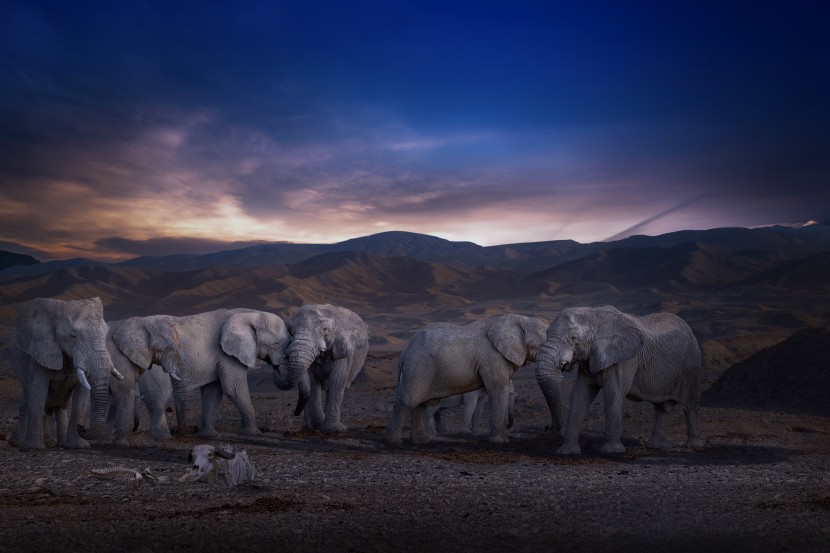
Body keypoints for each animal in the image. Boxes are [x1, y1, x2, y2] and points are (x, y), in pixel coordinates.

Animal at [8, 298, 123, 448]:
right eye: (73, 336)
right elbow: (38, 392)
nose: (82, 427)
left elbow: (81, 398)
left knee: (59, 406)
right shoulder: (40, 351)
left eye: (105, 334)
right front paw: (33, 448)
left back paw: (55, 443)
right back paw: (17, 443)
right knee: (29, 401)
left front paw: (78, 446)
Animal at [137, 308, 292, 438]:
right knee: (157, 398)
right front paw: (253, 433)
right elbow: (233, 388)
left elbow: (213, 390)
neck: (248, 313)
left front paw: (209, 435)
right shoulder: (227, 354)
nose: (275, 365)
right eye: (277, 343)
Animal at [272, 304, 370, 434]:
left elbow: (338, 380)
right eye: (290, 331)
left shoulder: (341, 350)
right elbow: (312, 383)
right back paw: (307, 428)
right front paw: (320, 423)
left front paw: (334, 429)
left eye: (325, 329)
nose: (294, 412)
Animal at [386, 312, 552, 446]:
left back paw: (422, 441)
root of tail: (406, 348)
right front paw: (501, 442)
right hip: (418, 367)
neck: (522, 319)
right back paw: (395, 442)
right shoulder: (492, 357)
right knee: (409, 401)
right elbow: (498, 390)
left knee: (421, 404)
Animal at [536, 304, 704, 454]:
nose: (549, 428)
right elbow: (579, 395)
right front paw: (566, 452)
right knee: (660, 407)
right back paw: (656, 446)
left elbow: (613, 393)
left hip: (691, 363)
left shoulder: (624, 359)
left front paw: (612, 451)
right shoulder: (591, 358)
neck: (594, 314)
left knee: (689, 405)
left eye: (574, 338)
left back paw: (693, 446)